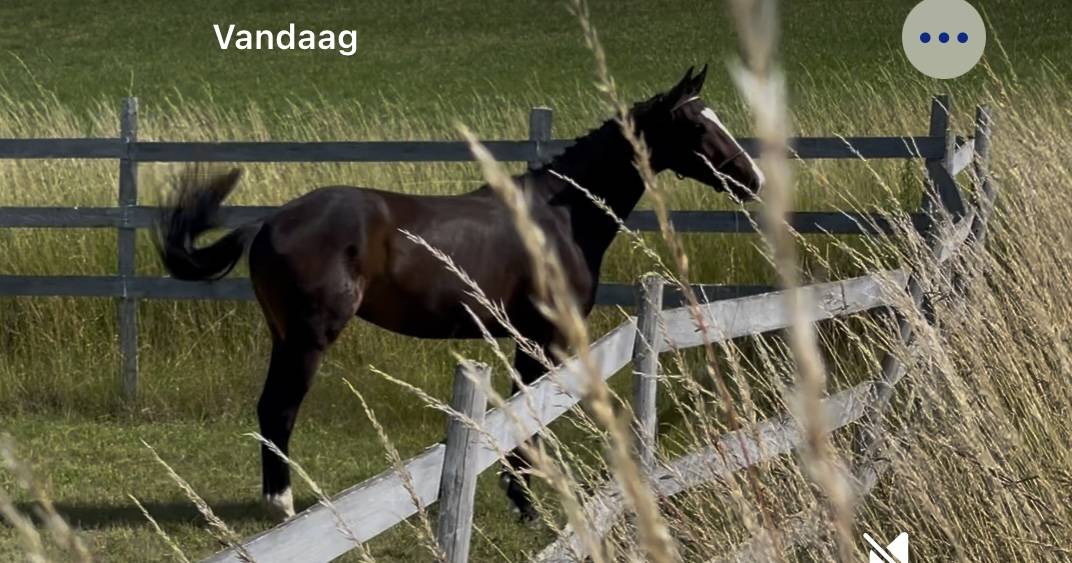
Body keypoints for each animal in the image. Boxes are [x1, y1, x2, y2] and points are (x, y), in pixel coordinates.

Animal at [154, 64, 763, 524]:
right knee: (279, 407)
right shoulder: (543, 337)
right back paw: (282, 506)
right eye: (695, 124)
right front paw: (525, 504)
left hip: (285, 335)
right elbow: (528, 419)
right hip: (306, 338)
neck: (558, 219)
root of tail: (270, 222)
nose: (751, 178)